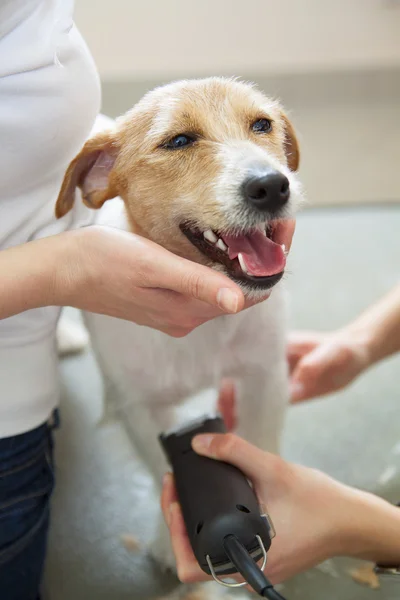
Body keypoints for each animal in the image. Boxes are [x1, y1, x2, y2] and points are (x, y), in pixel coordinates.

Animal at [54, 77, 302, 596]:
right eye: (180, 141)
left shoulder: (265, 376)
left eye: (262, 125)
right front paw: (172, 543)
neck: (208, 323)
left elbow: (261, 442)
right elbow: (163, 466)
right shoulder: (140, 407)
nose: (272, 185)